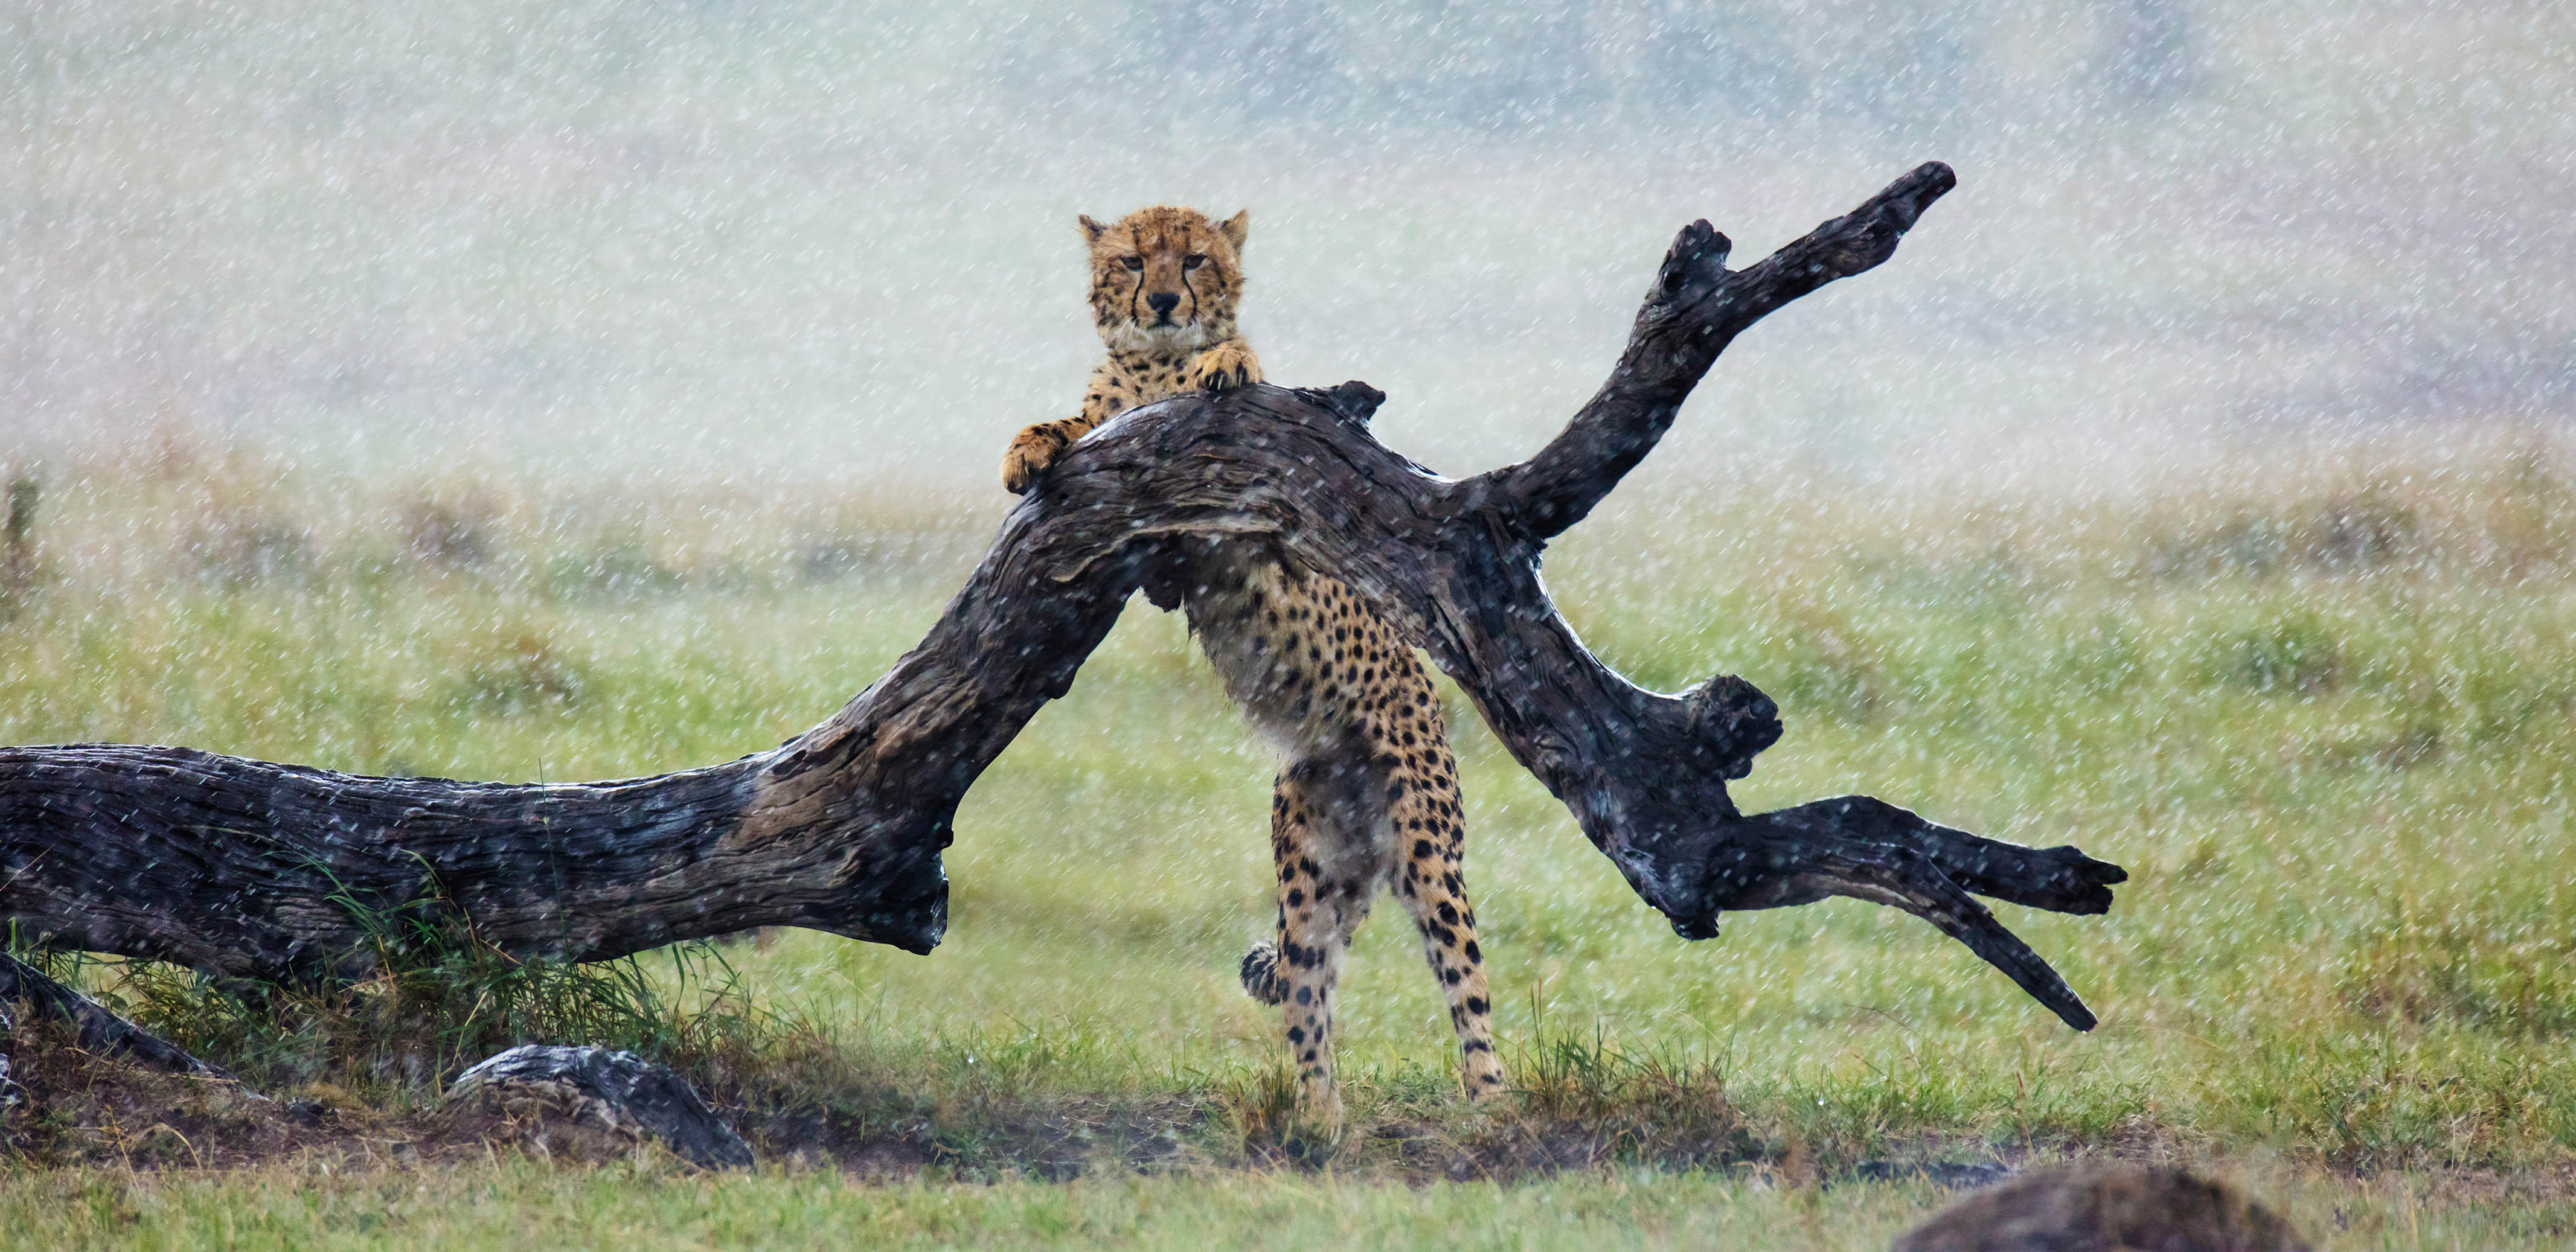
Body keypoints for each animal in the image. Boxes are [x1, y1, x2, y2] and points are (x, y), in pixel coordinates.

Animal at [994, 203, 1504, 1123]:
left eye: (1195, 260)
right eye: (1132, 262)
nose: (1164, 301)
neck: (1153, 364)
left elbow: (1238, 379)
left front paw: (1225, 358)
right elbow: (1067, 423)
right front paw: (1025, 448)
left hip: (1428, 850)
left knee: (1466, 985)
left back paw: (1489, 1101)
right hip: (1308, 880)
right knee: (1309, 1005)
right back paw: (1319, 1121)